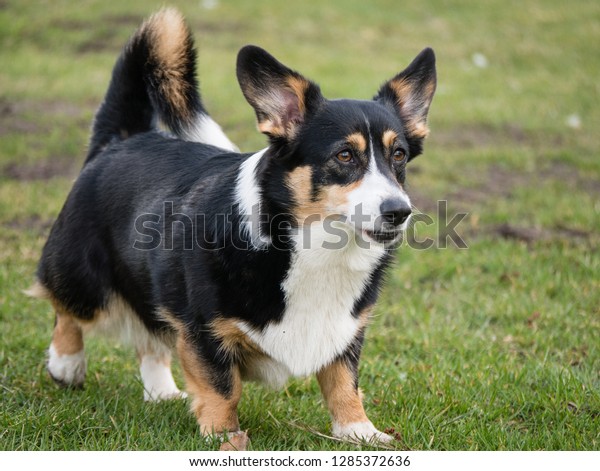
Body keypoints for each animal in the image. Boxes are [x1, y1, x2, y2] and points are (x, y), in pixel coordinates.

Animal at [28, 7, 436, 450]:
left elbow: (343, 381)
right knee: (65, 308)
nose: (399, 211)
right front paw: (224, 435)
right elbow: (223, 387)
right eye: (345, 155)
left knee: (150, 338)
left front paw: (359, 431)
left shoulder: (345, 330)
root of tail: (122, 139)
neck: (315, 248)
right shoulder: (204, 328)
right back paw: (66, 365)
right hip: (82, 276)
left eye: (399, 155)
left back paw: (161, 391)